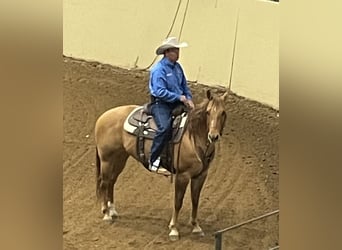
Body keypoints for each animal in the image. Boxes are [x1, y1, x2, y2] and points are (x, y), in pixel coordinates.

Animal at [94, 89, 227, 240]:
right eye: (208, 112)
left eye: (223, 112)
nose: (213, 136)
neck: (192, 137)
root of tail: (103, 117)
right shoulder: (182, 176)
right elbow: (178, 202)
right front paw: (174, 229)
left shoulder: (201, 176)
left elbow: (195, 200)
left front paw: (196, 226)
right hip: (107, 160)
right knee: (104, 182)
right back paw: (106, 214)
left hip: (120, 158)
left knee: (111, 181)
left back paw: (112, 210)